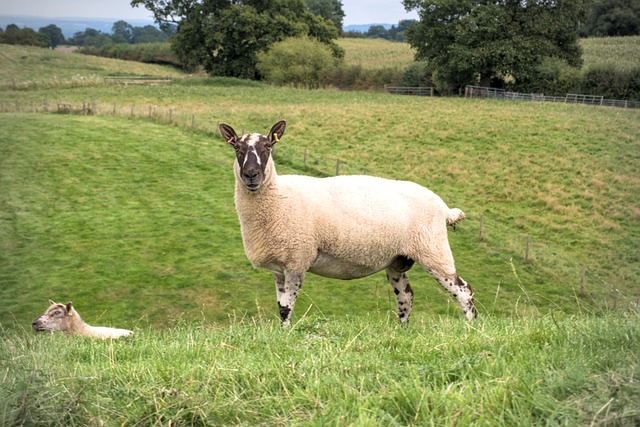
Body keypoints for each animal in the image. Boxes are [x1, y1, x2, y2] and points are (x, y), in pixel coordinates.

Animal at [220, 118, 476, 326]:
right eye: (237, 148)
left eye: (268, 147)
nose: (251, 175)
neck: (279, 197)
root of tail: (444, 208)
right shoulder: (279, 268)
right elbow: (281, 306)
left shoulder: (296, 260)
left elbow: (285, 308)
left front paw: (285, 335)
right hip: (398, 260)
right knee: (406, 296)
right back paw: (401, 330)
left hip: (434, 250)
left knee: (463, 290)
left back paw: (471, 326)